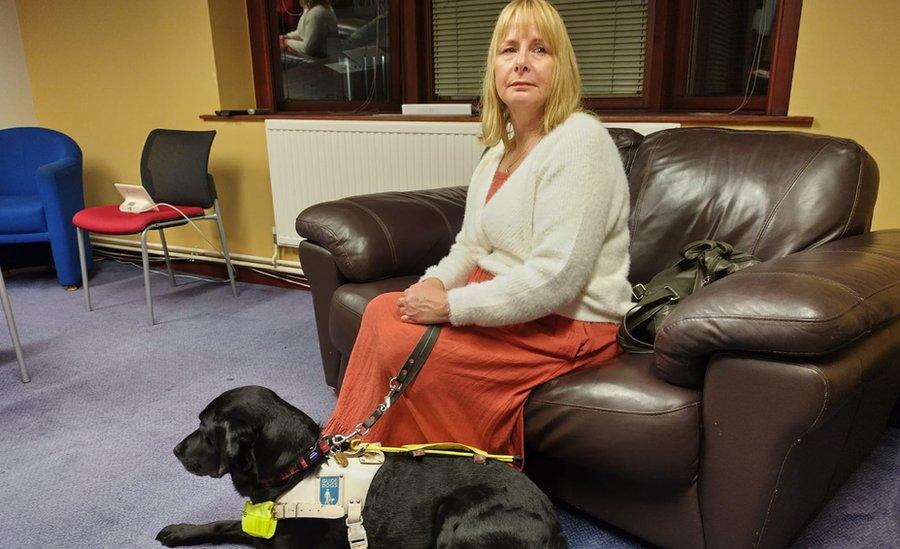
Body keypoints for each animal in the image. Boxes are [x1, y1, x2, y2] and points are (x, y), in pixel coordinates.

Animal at [154, 386, 564, 548]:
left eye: (205, 430)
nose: (174, 450)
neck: (298, 467)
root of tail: (555, 525)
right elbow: (223, 523)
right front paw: (180, 531)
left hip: (457, 517)